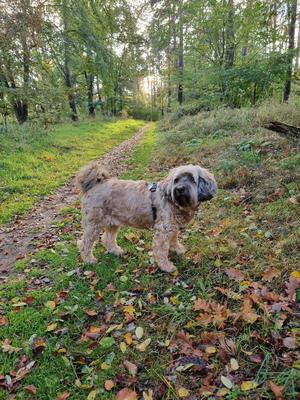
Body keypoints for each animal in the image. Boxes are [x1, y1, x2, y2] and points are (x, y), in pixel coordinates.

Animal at [77, 162, 218, 272]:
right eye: (176, 180)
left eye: (192, 179)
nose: (179, 189)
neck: (173, 201)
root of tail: (95, 184)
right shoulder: (163, 230)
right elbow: (161, 251)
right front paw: (166, 266)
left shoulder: (173, 227)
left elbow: (174, 240)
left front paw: (177, 249)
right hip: (93, 224)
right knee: (85, 243)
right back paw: (89, 259)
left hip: (113, 222)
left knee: (107, 239)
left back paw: (115, 251)